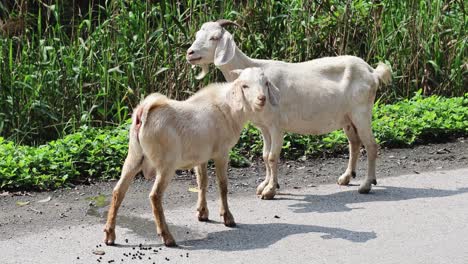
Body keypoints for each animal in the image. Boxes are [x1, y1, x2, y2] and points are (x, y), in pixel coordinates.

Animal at [104, 67, 280, 246]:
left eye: (265, 83)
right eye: (245, 86)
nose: (262, 99)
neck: (228, 108)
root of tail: (143, 112)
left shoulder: (201, 156)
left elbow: (202, 182)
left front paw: (202, 213)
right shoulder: (222, 152)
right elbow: (223, 185)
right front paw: (227, 218)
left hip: (133, 156)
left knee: (118, 191)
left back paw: (110, 235)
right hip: (166, 164)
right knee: (155, 196)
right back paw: (167, 237)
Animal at [186, 20, 392, 198]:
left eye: (214, 37)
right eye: (197, 35)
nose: (190, 53)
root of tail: (372, 72)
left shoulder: (277, 125)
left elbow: (272, 156)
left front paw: (270, 191)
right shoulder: (264, 127)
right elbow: (264, 155)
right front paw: (265, 185)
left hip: (362, 112)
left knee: (371, 145)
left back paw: (366, 184)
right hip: (347, 118)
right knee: (354, 143)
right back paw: (346, 177)